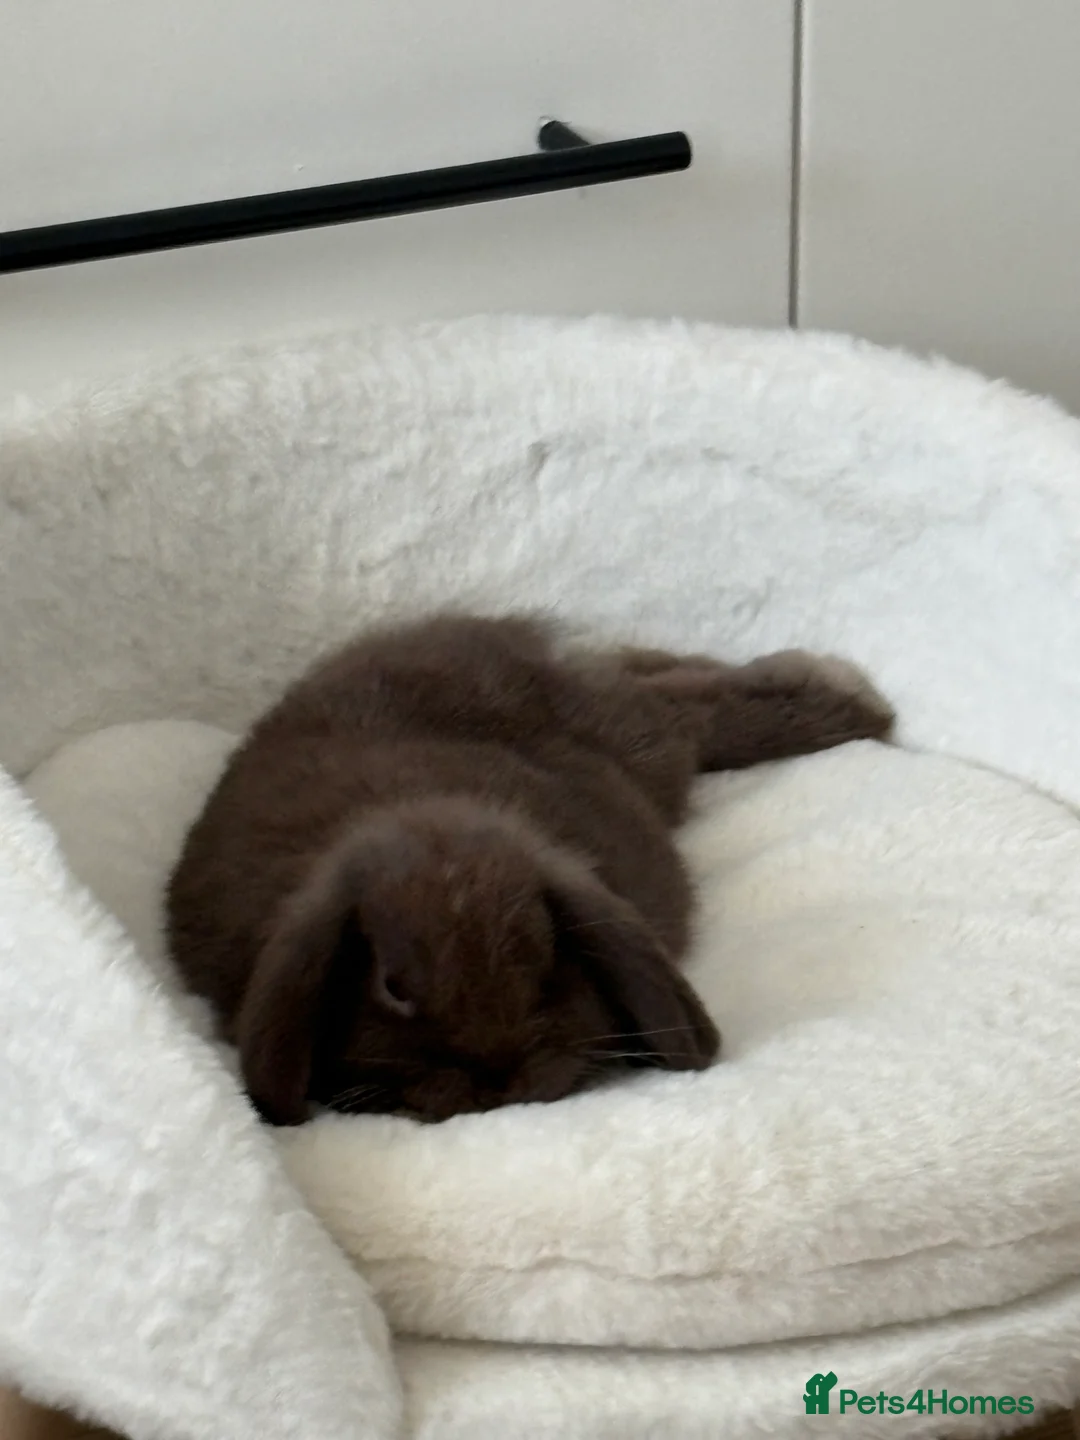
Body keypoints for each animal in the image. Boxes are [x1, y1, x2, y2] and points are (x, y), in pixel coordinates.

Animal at [165, 613, 894, 1125]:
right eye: (392, 987)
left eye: (547, 965)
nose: (497, 1080)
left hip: (646, 742)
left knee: (680, 702)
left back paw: (854, 702)